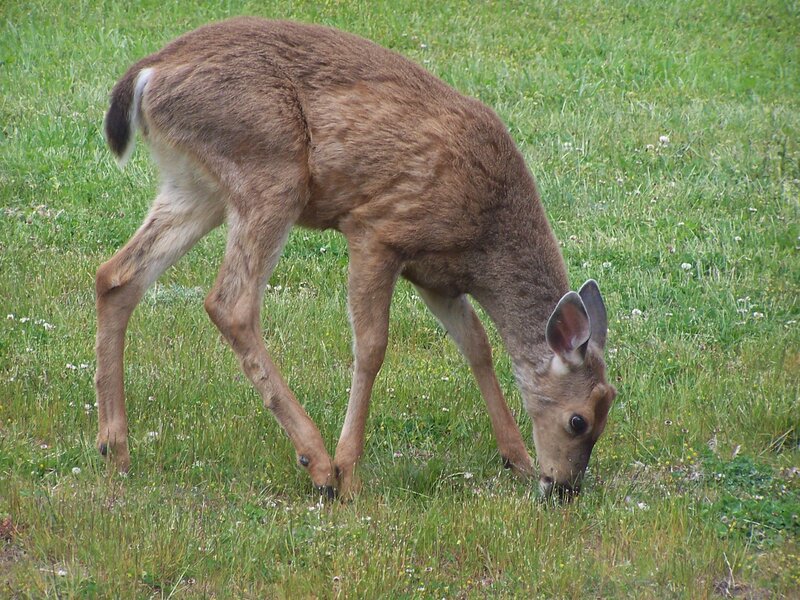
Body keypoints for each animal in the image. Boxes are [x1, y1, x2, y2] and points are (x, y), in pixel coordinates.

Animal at [96, 17, 616, 500]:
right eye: (578, 420)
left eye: (610, 405)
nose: (564, 488)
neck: (485, 238)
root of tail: (148, 73)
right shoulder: (377, 231)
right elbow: (371, 347)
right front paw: (349, 472)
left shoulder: (435, 276)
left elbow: (477, 345)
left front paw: (518, 458)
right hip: (269, 169)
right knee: (229, 303)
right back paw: (318, 462)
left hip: (194, 185)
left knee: (117, 275)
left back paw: (114, 448)